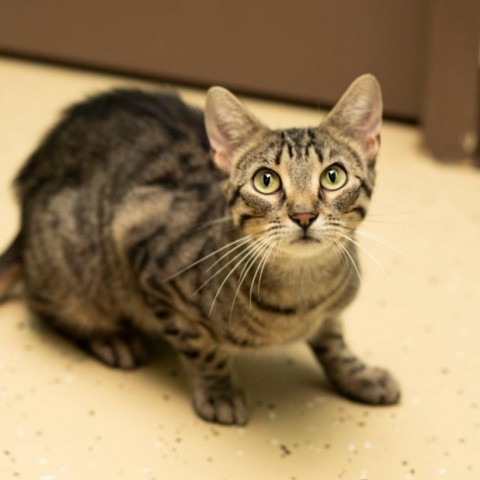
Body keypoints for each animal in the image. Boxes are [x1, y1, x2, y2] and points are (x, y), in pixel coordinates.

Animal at [0, 74, 400, 424]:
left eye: (333, 176)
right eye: (266, 181)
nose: (304, 215)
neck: (304, 295)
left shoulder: (330, 313)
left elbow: (334, 342)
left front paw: (358, 375)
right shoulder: (144, 252)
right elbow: (201, 348)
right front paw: (219, 392)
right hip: (71, 256)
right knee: (46, 304)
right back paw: (110, 337)